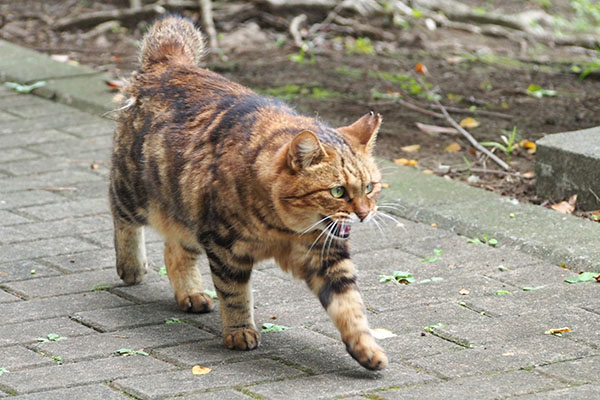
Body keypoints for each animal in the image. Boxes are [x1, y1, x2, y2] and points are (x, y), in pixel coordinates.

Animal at [109, 16, 386, 372]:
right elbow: (235, 296)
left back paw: (191, 294)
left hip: (187, 209)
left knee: (175, 251)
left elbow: (350, 307)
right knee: (121, 216)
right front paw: (239, 331)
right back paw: (131, 266)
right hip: (134, 189)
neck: (283, 229)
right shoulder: (225, 249)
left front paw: (367, 349)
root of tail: (169, 63)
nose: (364, 213)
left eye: (369, 187)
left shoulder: (327, 256)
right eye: (337, 191)